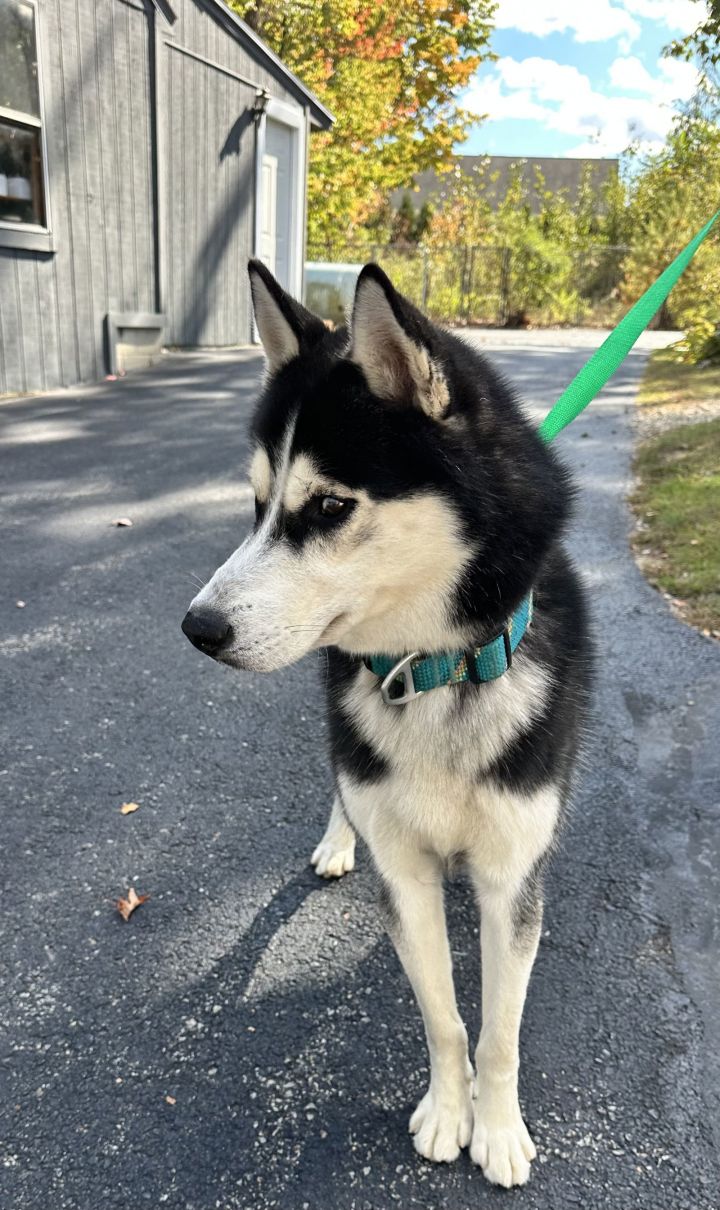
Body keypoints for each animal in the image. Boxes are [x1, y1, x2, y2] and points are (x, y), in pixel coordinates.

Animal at [182, 262, 595, 1190]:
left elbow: (500, 1030)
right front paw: (450, 1112)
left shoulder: (511, 877)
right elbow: (446, 1019)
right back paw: (339, 840)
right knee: (342, 781)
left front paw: (497, 1128)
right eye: (257, 506)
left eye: (330, 507)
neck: (436, 672)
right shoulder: (404, 875)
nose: (197, 628)